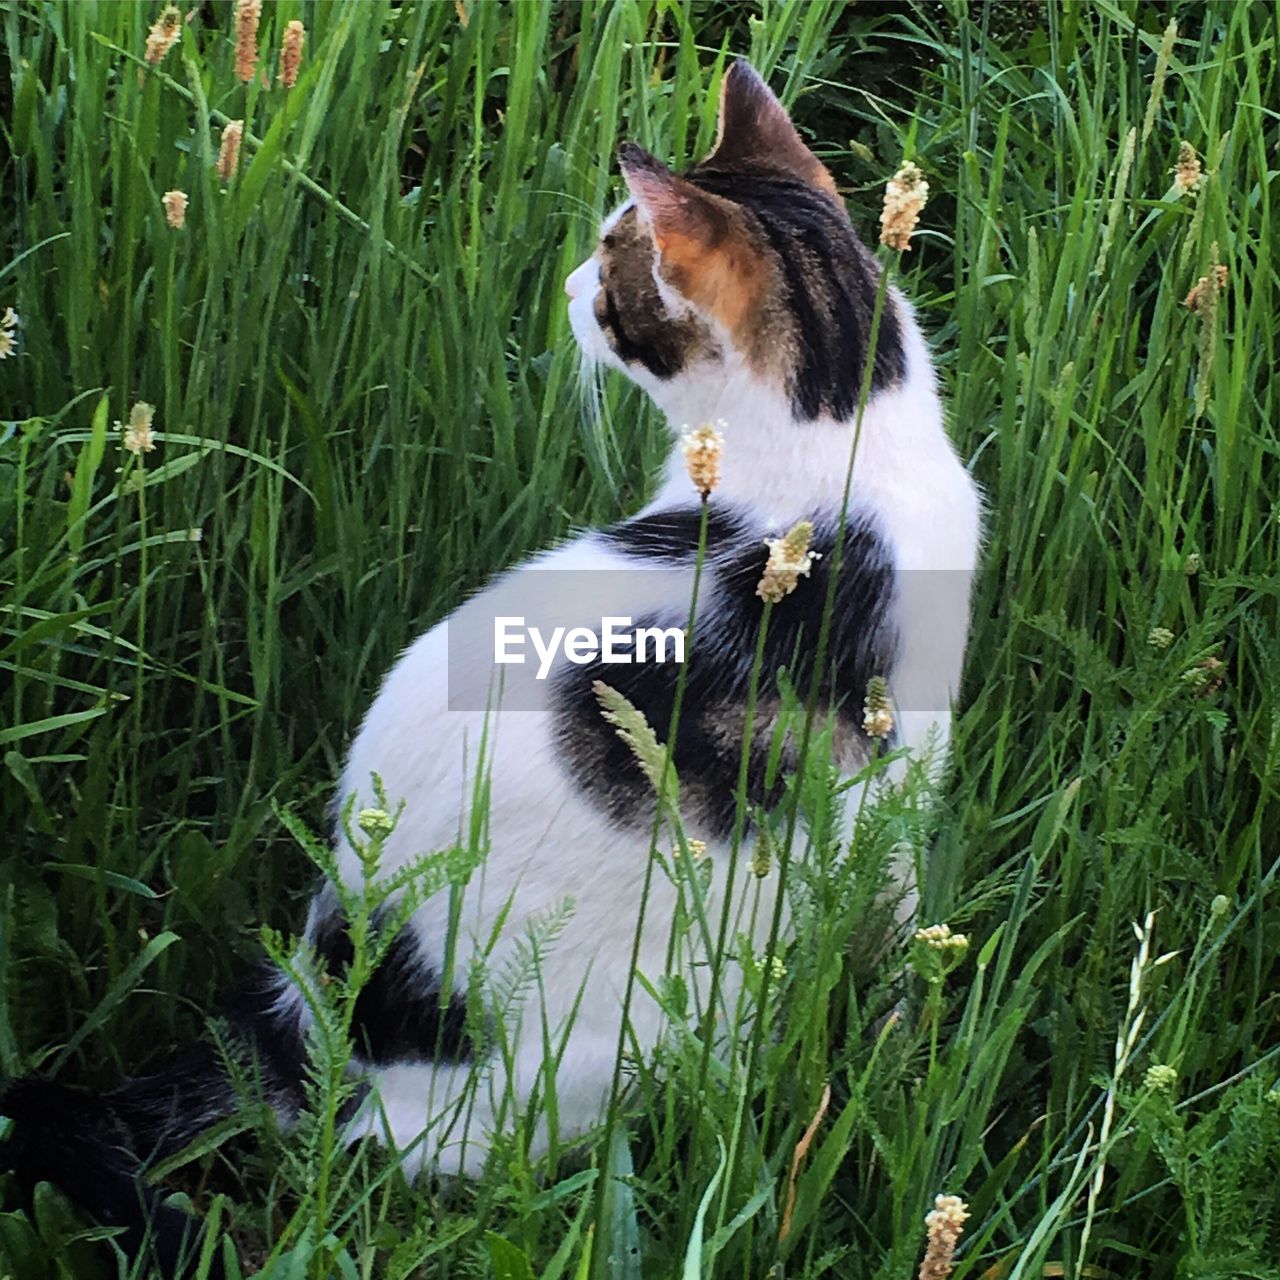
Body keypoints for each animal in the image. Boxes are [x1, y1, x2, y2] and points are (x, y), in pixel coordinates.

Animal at [2, 60, 977, 1280]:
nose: (565, 283)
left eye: (612, 264)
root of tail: (312, 1006)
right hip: (631, 1040)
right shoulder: (890, 786)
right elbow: (891, 923)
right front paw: (900, 1029)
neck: (840, 443)